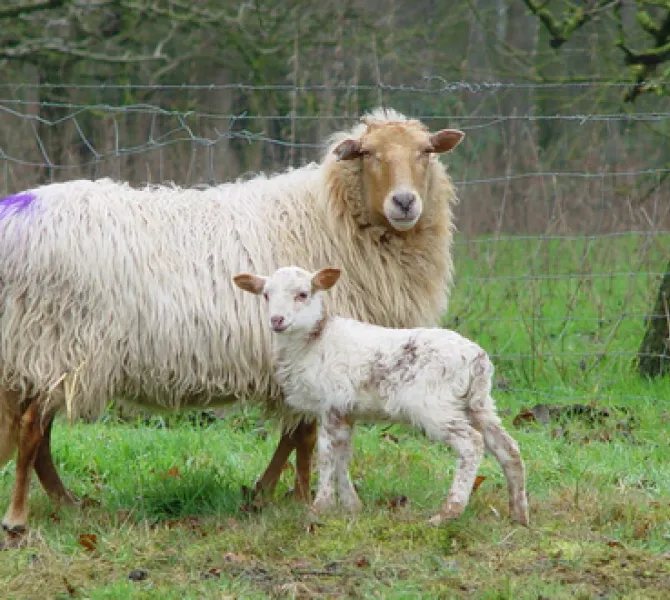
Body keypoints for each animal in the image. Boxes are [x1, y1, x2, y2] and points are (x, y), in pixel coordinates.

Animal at [0, 109, 468, 536]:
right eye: (368, 154)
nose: (404, 202)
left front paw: (267, 493)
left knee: (39, 432)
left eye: (426, 152)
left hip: (45, 351)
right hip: (58, 342)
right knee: (31, 430)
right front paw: (300, 498)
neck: (328, 215)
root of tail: (16, 212)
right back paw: (19, 518)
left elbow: (295, 434)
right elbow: (305, 436)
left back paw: (68, 504)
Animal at [234, 266, 532, 524]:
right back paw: (518, 514)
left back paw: (447, 513)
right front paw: (352, 506)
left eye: (303, 294)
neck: (314, 340)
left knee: (471, 443)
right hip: (479, 403)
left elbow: (327, 455)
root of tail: (477, 360)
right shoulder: (346, 410)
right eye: (266, 295)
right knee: (508, 448)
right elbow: (343, 455)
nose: (276, 320)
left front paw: (319, 508)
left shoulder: (330, 404)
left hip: (436, 405)